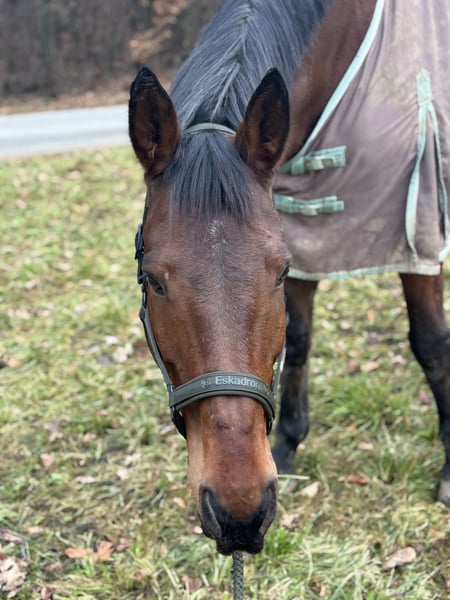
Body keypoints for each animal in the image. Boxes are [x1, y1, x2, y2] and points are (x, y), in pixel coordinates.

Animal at [128, 0, 450, 556]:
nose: (239, 512)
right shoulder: (303, 226)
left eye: (276, 272)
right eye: (153, 280)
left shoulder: (416, 234)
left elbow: (430, 343)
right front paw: (290, 442)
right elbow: (297, 339)